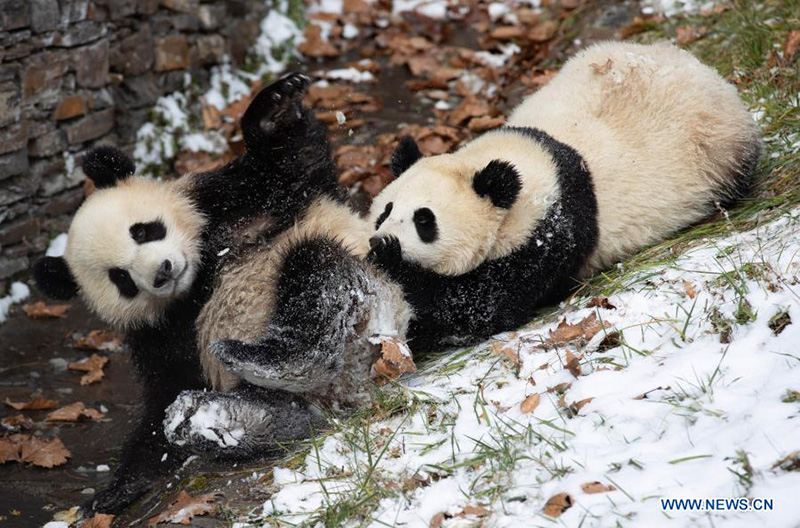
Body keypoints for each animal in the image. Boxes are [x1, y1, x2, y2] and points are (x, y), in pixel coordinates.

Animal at [31, 72, 352, 512]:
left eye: (143, 230)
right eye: (121, 279)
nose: (162, 272)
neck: (200, 274)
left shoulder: (227, 202)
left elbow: (291, 163)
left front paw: (275, 105)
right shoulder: (162, 329)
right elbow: (166, 392)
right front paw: (113, 492)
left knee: (316, 270)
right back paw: (231, 422)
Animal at [368, 43, 764, 352]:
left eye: (424, 220)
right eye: (385, 211)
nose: (379, 238)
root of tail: (710, 75)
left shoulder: (547, 231)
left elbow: (479, 308)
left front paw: (394, 262)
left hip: (717, 149)